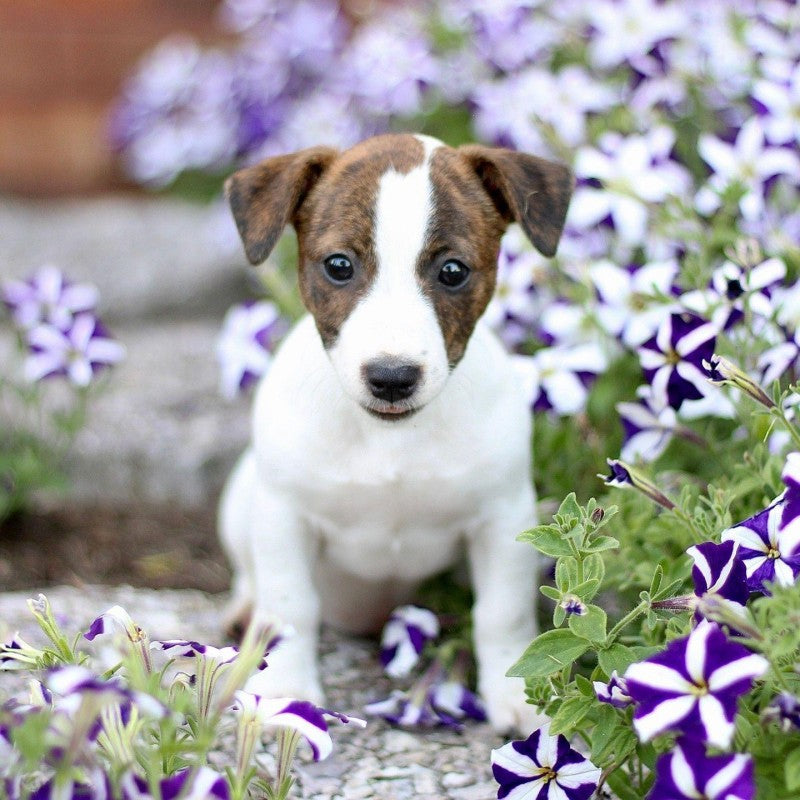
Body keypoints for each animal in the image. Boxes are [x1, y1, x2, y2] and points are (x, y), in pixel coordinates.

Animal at [216, 133, 572, 732]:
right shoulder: (285, 515)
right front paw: (286, 690)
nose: (391, 377)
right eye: (339, 265)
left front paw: (515, 694)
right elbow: (289, 605)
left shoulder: (503, 517)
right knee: (250, 576)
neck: (388, 438)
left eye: (452, 271)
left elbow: (502, 612)